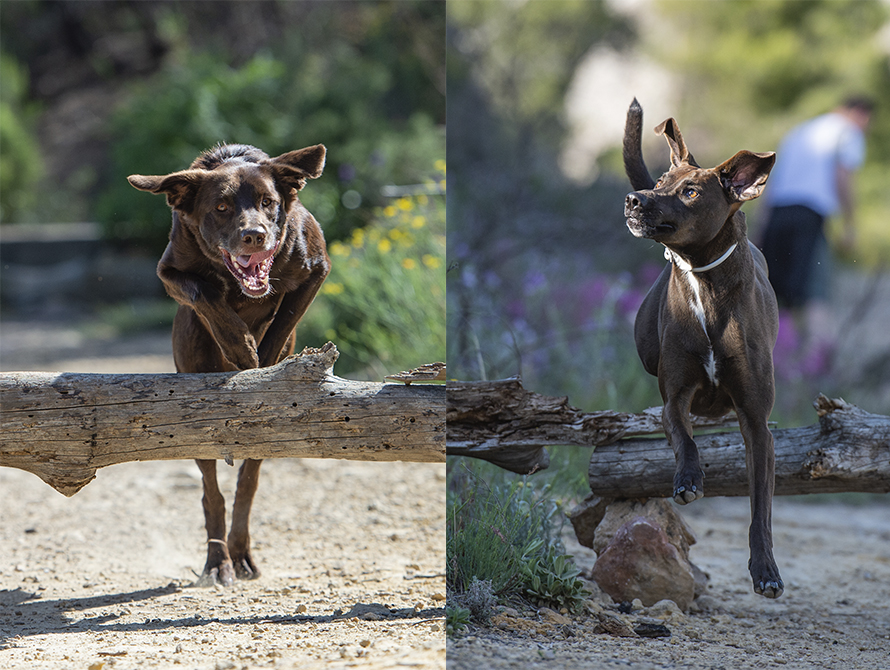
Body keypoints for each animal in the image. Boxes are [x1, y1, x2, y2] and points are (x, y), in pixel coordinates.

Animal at [128, 144, 330, 584]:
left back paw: (239, 554)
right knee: (211, 492)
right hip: (189, 411)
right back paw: (218, 560)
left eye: (268, 203)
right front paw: (239, 346)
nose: (254, 235)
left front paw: (261, 359)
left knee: (247, 484)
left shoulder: (316, 267)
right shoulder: (169, 271)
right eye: (220, 207)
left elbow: (285, 317)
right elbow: (203, 292)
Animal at [620, 100, 780, 600]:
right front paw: (689, 479)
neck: (704, 285)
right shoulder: (675, 396)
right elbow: (684, 438)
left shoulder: (756, 423)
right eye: (658, 183)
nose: (634, 199)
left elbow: (760, 510)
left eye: (690, 191)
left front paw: (766, 570)